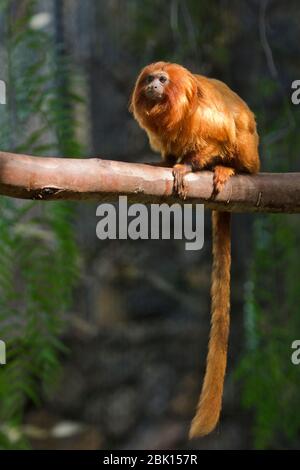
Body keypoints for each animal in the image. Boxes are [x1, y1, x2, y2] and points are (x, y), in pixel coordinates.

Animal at [129, 60, 260, 438]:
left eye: (163, 80)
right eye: (150, 79)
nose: (153, 87)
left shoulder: (205, 119)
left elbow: (221, 135)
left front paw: (187, 165)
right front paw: (168, 162)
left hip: (252, 154)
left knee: (238, 140)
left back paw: (229, 169)